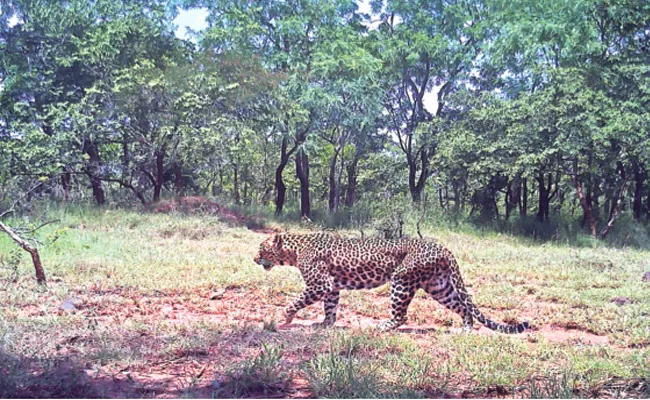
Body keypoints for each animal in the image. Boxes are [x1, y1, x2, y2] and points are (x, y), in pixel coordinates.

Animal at [252, 231, 528, 334]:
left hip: (401, 280)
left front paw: (284, 318)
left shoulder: (319, 285)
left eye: (261, 248)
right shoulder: (331, 286)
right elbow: (330, 308)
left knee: (401, 316)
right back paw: (465, 329)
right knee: (462, 306)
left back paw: (381, 327)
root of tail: (442, 247)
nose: (254, 259)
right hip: (438, 285)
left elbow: (296, 301)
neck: (294, 251)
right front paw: (325, 324)